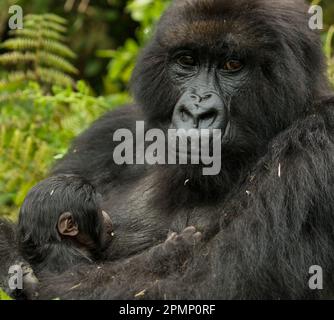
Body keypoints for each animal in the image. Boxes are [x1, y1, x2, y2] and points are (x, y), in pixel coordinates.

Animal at [1, 0, 334, 300]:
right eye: (187, 61)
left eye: (232, 65)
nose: (196, 112)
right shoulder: (107, 133)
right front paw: (10, 255)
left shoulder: (318, 140)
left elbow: (207, 280)